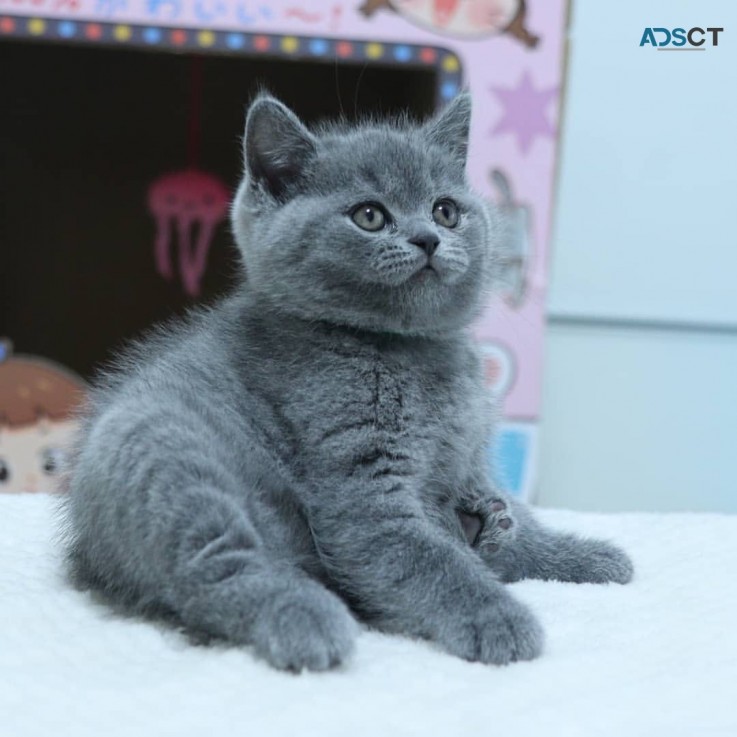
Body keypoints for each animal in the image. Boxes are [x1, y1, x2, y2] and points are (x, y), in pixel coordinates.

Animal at [61, 92, 632, 672]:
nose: (428, 238)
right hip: (161, 450)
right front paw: (498, 618)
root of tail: (87, 551)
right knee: (211, 570)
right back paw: (308, 618)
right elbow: (430, 560)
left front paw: (584, 557)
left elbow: (517, 520)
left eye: (445, 210)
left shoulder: (470, 461)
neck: (409, 349)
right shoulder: (359, 488)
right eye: (369, 216)